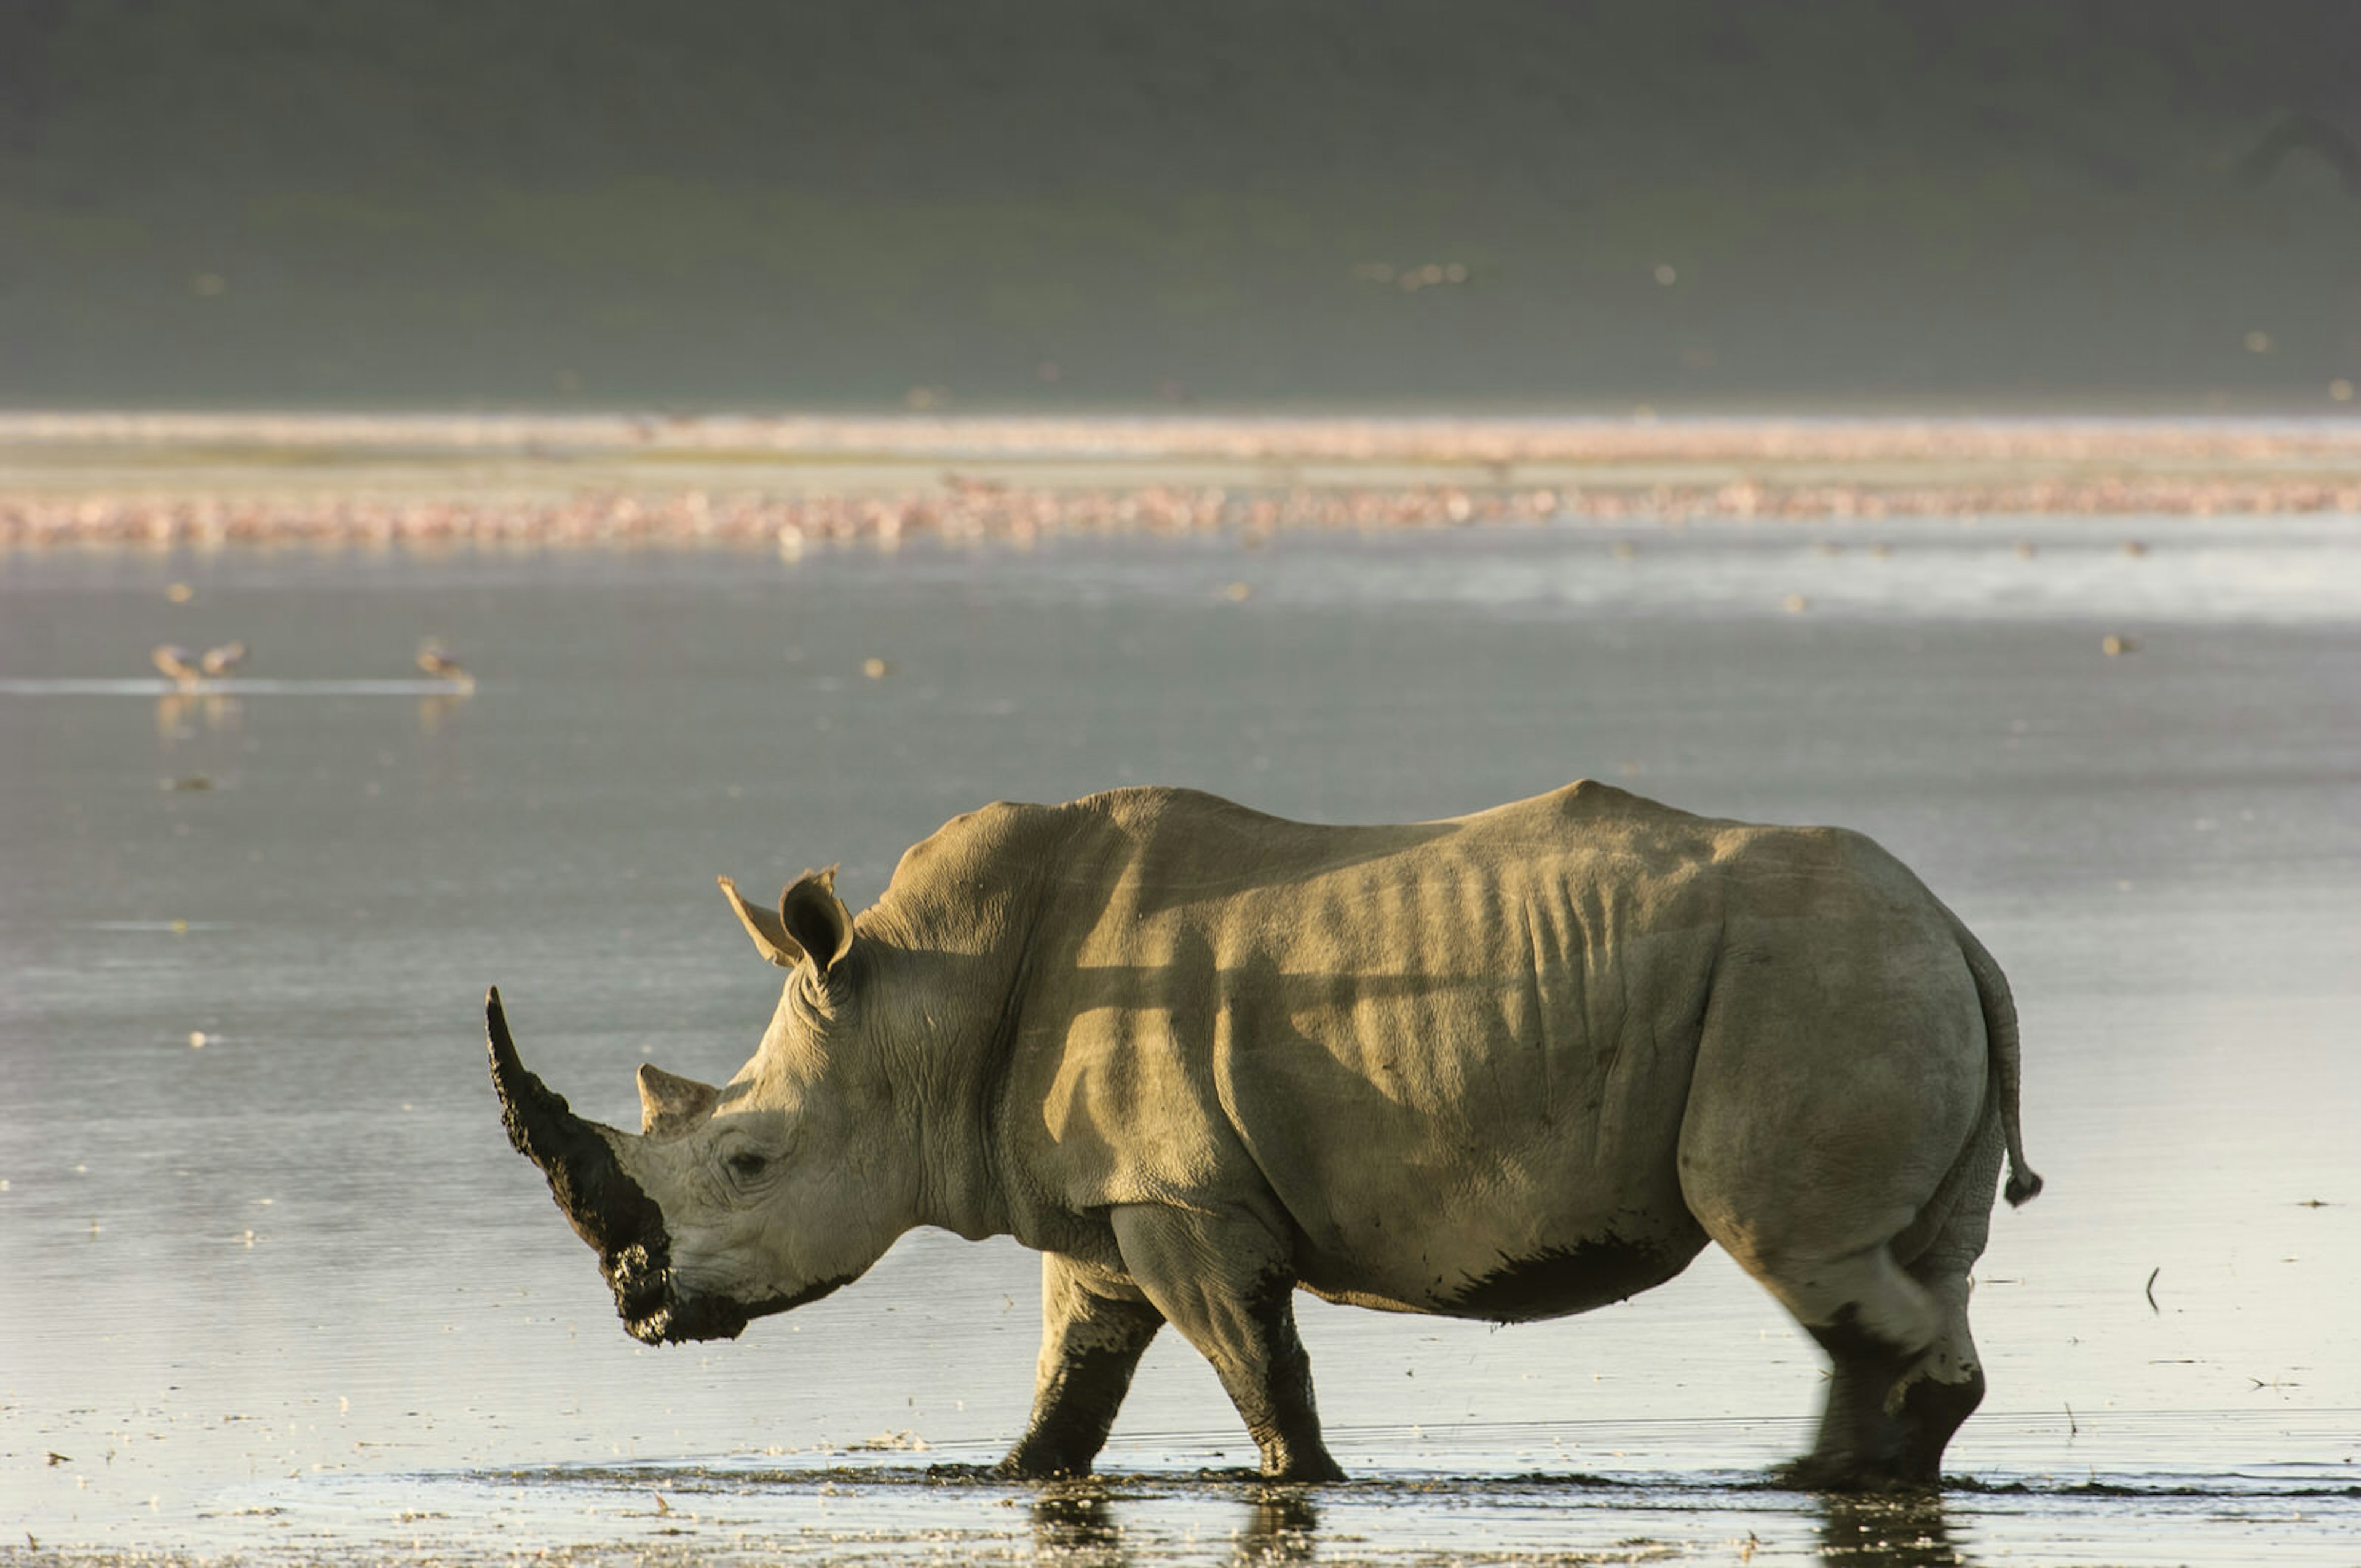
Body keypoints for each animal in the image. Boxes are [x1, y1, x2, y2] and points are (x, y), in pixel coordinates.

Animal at [488, 779, 2039, 1492]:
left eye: (748, 1164)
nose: (638, 1305)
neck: (921, 1002)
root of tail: (1959, 930)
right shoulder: (1108, 1206)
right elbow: (1072, 1382)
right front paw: (1013, 1474)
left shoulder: (1182, 1199)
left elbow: (1257, 1368)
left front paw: (1307, 1484)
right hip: (1875, 980)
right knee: (1886, 1270)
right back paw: (1827, 1476)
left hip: (1813, 987)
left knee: (1796, 1247)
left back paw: (1862, 1471)